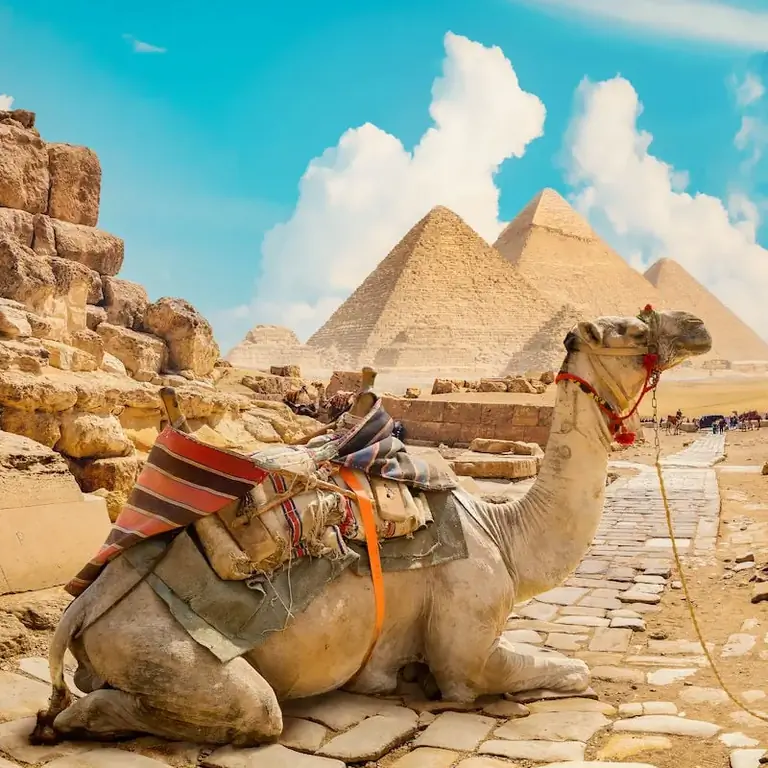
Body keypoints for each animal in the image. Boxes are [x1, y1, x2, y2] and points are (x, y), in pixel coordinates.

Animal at [33, 309, 711, 748]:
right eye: (631, 329)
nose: (699, 327)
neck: (506, 534)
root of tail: (82, 608)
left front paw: (395, 680)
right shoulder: (467, 649)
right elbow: (568, 672)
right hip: (159, 648)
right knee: (248, 711)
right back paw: (63, 722)